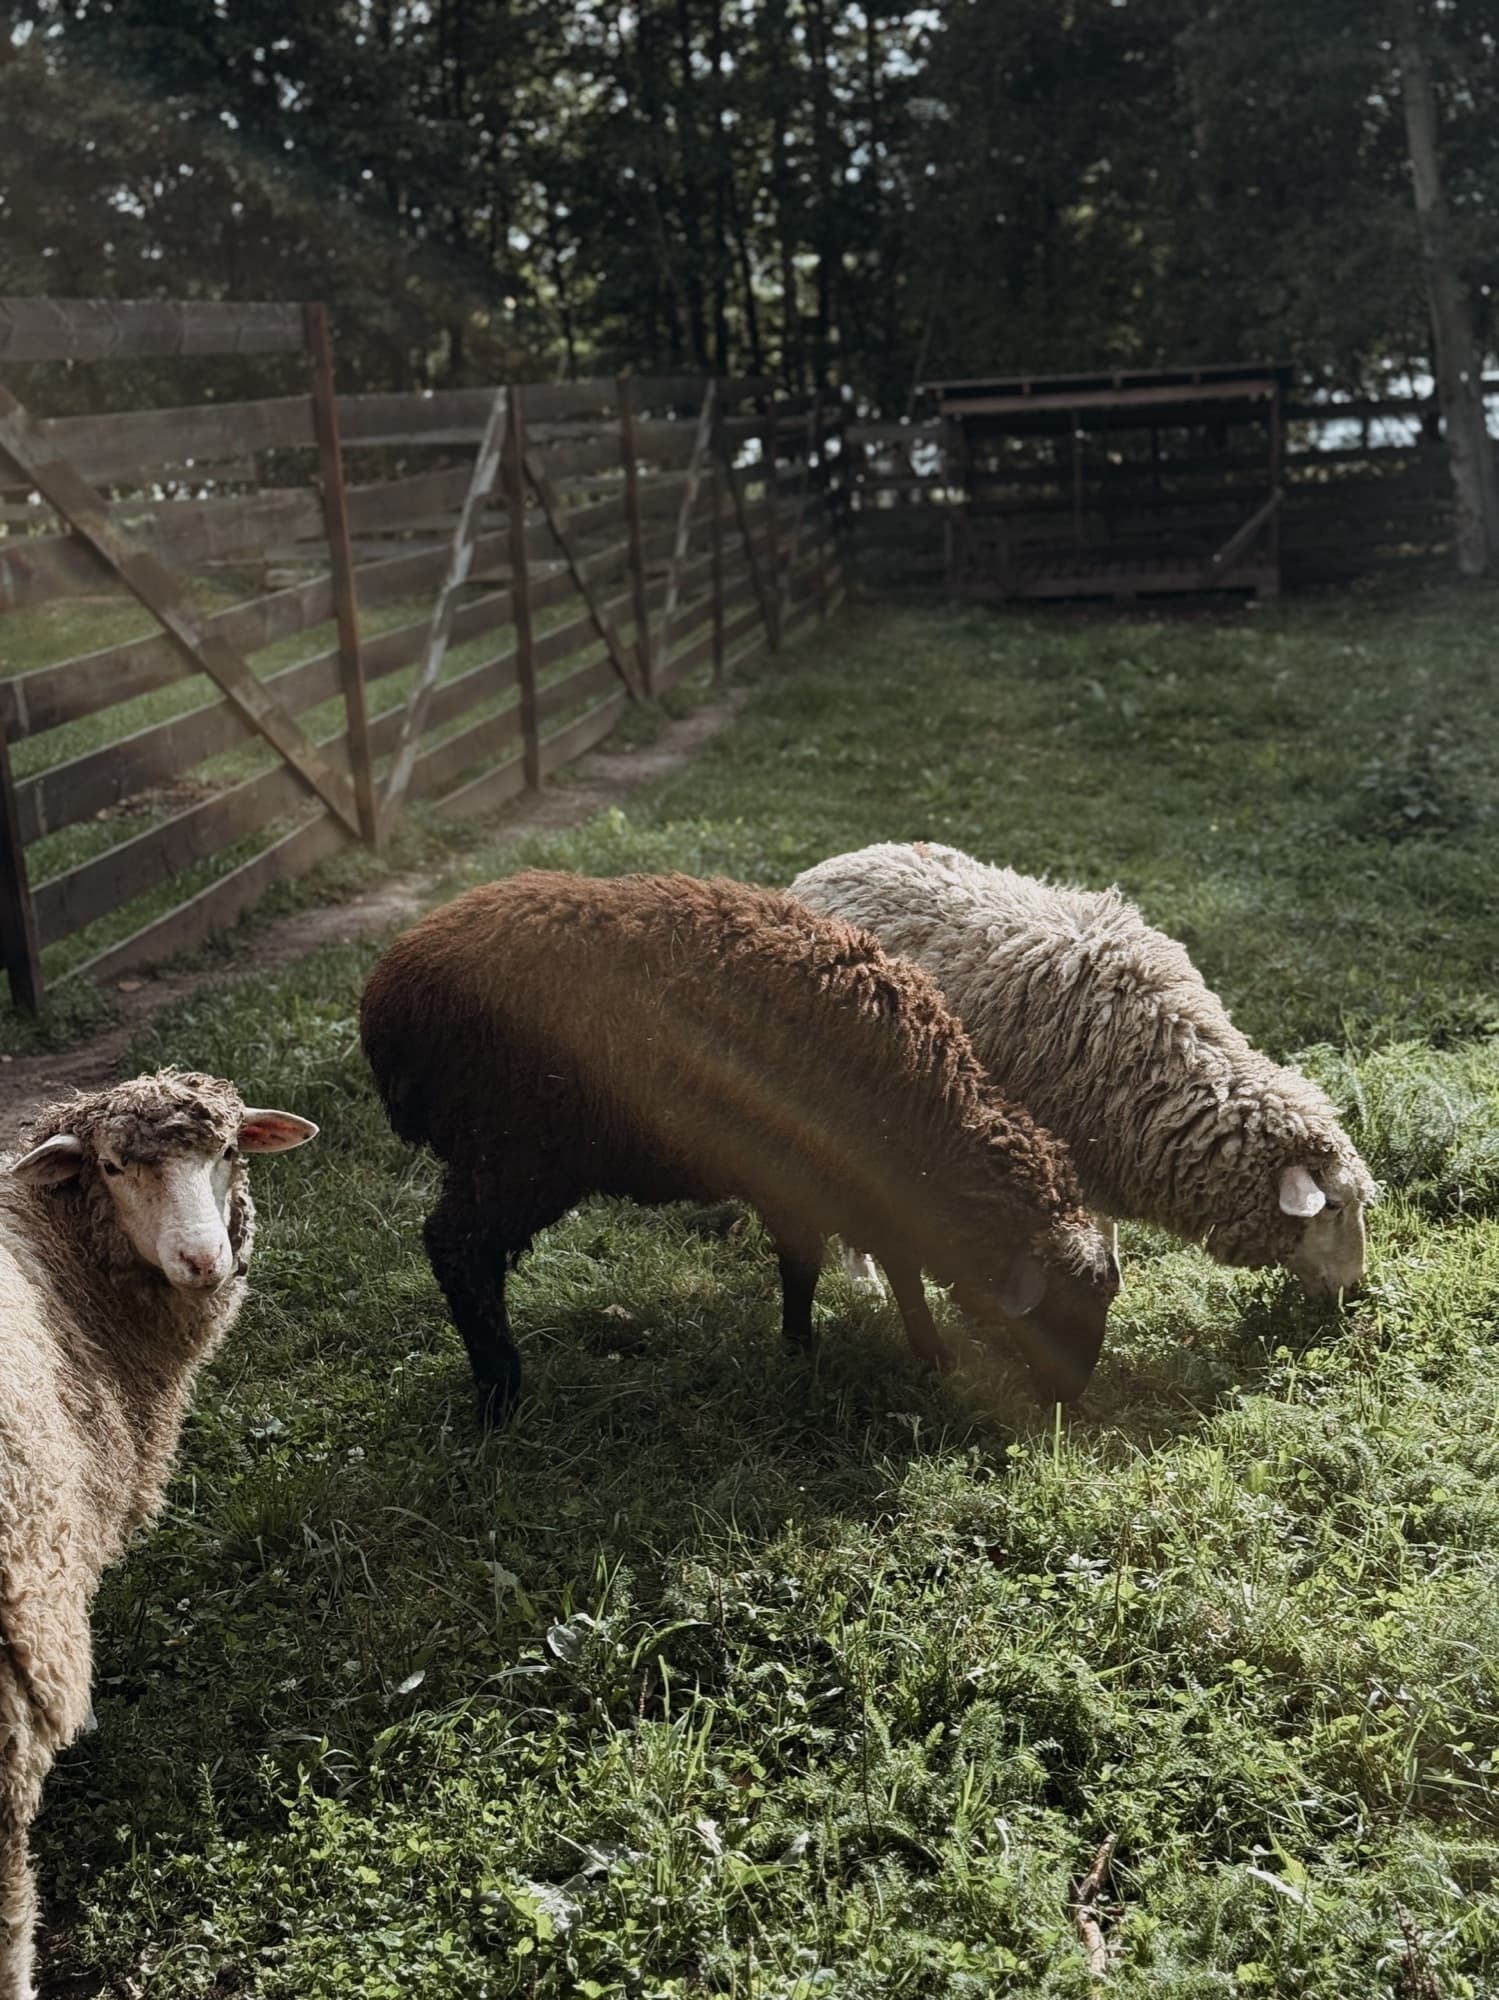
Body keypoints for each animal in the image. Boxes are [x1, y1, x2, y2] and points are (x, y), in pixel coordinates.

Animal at [359, 870, 1120, 1421]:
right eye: (1064, 1311)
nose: (1069, 1401)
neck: (925, 1113)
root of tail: (389, 994)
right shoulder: (798, 1181)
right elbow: (805, 1267)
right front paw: (799, 1350)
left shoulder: (866, 1186)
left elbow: (900, 1265)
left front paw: (929, 1353)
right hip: (515, 1152)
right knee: (458, 1249)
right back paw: (500, 1390)